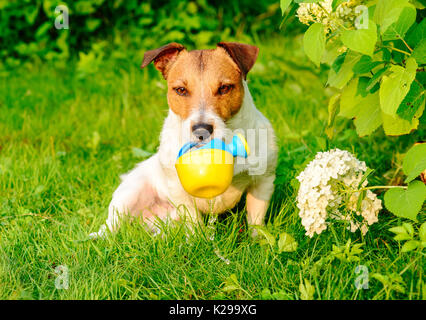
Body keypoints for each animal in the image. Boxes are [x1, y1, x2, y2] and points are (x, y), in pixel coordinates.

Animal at [89, 42, 276, 238]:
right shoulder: (179, 191)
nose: (202, 130)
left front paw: (259, 240)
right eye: (181, 90)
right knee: (112, 225)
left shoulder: (263, 181)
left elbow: (256, 220)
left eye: (225, 88)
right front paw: (198, 240)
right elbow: (194, 222)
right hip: (129, 194)